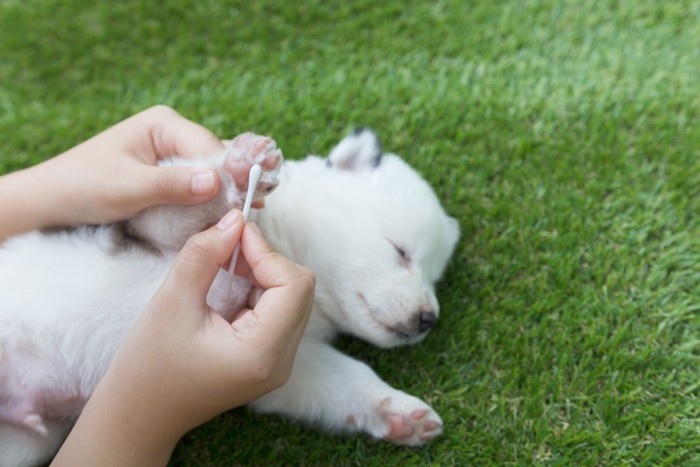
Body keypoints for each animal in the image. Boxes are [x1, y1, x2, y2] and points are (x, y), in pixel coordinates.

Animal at [0, 129, 460, 467]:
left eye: (433, 275)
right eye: (401, 251)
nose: (428, 319)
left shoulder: (290, 360)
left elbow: (347, 377)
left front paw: (398, 411)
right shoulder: (150, 220)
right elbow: (193, 201)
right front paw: (239, 172)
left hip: (22, 442)